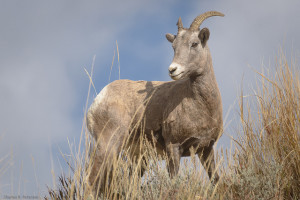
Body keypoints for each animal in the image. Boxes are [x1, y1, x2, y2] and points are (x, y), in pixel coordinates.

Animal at [86, 11, 223, 191]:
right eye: (174, 47)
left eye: (194, 44)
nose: (173, 70)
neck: (202, 106)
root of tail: (97, 102)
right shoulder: (174, 147)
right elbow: (174, 181)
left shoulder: (206, 149)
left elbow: (215, 179)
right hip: (109, 145)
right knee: (92, 179)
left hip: (136, 158)